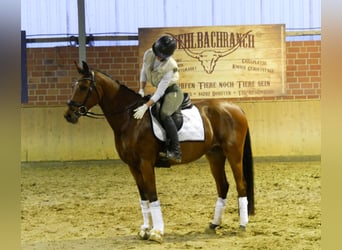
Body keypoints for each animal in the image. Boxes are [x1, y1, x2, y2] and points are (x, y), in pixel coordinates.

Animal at [63, 61, 254, 243]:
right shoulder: (133, 166)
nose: (68, 115)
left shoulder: (146, 163)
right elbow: (143, 197)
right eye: (74, 85)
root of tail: (236, 108)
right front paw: (145, 229)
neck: (131, 119)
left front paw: (156, 232)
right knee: (223, 186)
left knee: (241, 184)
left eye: (83, 87)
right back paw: (214, 224)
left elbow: (152, 195)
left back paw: (242, 225)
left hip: (233, 154)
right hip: (215, 155)